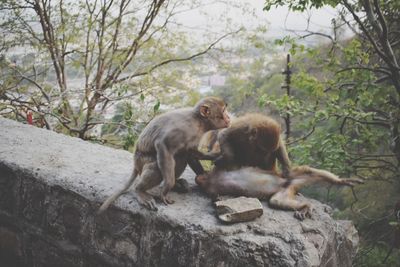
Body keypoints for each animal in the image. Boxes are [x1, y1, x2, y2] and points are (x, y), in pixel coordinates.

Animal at [98, 97, 230, 214]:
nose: (229, 117)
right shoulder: (184, 128)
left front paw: (206, 173)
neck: (199, 122)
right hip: (142, 159)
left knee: (181, 156)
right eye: (223, 111)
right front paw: (167, 188)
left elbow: (190, 153)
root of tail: (135, 162)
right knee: (158, 165)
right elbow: (163, 145)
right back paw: (141, 190)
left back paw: (177, 184)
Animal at [195, 166, 364, 221]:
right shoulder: (211, 187)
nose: (199, 178)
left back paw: (340, 181)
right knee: (276, 201)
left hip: (290, 175)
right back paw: (305, 205)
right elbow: (215, 198)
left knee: (309, 171)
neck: (211, 179)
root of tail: (287, 183)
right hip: (286, 189)